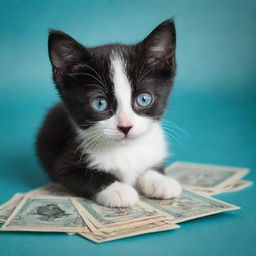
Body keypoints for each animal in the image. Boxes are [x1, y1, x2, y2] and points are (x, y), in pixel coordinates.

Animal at [36, 19, 181, 208]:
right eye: (99, 103)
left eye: (144, 99)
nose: (125, 127)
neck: (125, 150)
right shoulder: (65, 163)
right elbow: (87, 175)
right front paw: (118, 190)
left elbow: (151, 165)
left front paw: (160, 180)